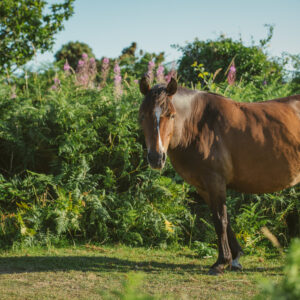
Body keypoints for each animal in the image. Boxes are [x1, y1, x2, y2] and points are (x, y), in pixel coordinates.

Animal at [138, 77, 300, 274]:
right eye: (143, 115)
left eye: (171, 115)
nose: (156, 157)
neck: (196, 124)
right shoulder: (204, 187)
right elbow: (225, 220)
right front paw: (235, 258)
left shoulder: (215, 182)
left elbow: (220, 220)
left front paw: (221, 262)